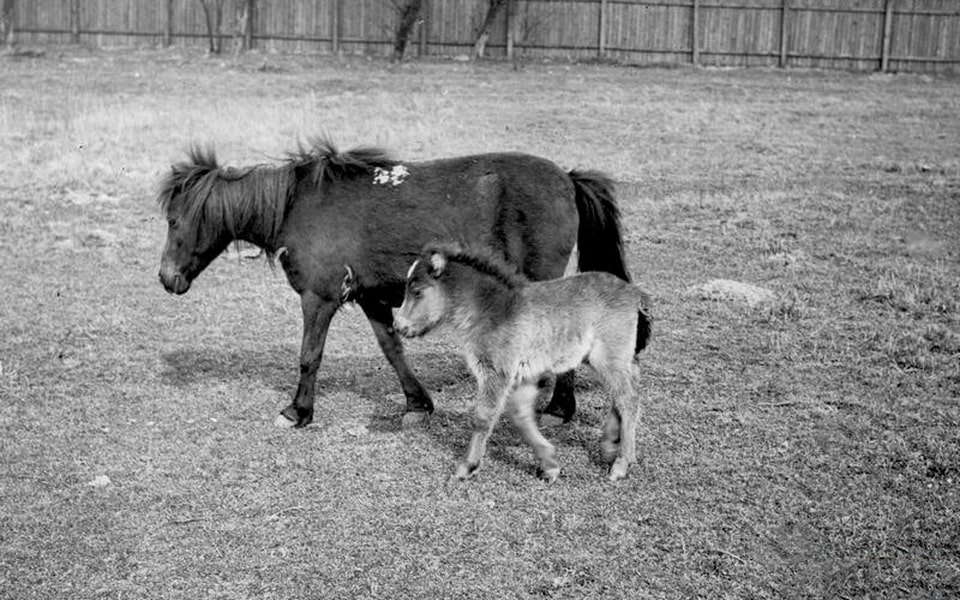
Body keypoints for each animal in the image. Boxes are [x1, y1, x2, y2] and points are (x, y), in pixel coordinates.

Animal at [157, 138, 630, 429]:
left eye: (174, 220)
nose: (166, 278)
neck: (296, 208)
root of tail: (566, 177)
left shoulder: (319, 298)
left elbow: (310, 356)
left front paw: (298, 411)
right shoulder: (371, 298)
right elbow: (393, 350)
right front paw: (417, 404)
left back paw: (560, 410)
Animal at [394, 243, 652, 482]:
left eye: (416, 291)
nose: (398, 326)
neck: (491, 310)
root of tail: (632, 291)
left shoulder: (496, 371)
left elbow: (483, 417)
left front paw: (466, 467)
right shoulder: (523, 374)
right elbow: (520, 416)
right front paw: (549, 464)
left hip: (608, 356)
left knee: (628, 398)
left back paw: (621, 463)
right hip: (612, 357)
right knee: (627, 389)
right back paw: (609, 446)